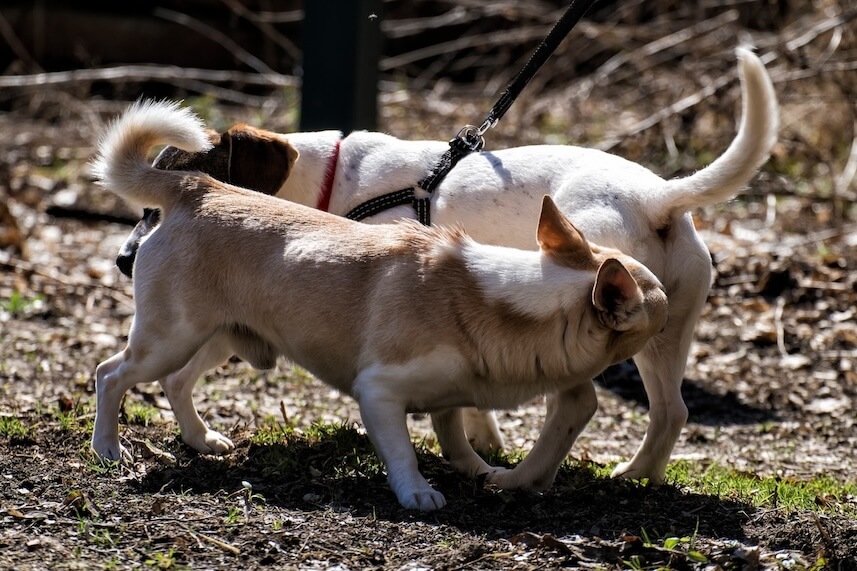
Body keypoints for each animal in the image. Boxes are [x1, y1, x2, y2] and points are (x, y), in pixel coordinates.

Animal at [92, 100, 668, 512]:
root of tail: (198, 188)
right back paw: (108, 449)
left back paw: (199, 438)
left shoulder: (449, 393)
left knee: (175, 381)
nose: (122, 260)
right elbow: (403, 448)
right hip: (171, 336)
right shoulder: (379, 392)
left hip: (219, 335)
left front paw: (477, 468)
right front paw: (418, 492)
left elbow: (455, 432)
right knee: (110, 373)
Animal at [117, 49, 780, 484]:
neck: (332, 179)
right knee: (671, 412)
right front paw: (479, 437)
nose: (124, 262)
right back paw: (635, 476)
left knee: (585, 404)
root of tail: (658, 197)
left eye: (151, 210)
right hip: (668, 332)